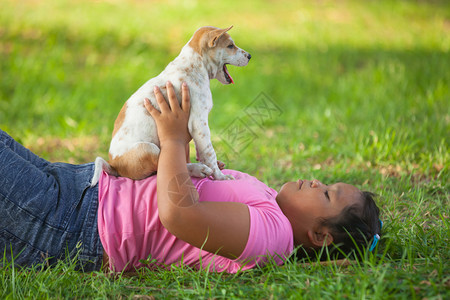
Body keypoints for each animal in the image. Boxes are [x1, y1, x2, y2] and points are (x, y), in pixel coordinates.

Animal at [91, 26, 251, 185]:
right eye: (230, 46)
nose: (249, 56)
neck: (195, 64)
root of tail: (114, 165)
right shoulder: (199, 123)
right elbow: (209, 151)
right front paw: (221, 177)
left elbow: (201, 148)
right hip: (148, 148)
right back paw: (198, 169)